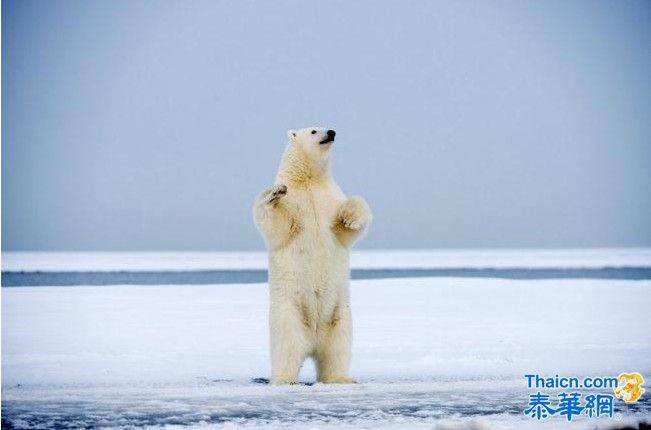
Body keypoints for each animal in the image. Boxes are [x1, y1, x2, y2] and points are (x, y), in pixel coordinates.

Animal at [253, 126, 372, 384]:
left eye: (326, 125)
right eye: (314, 130)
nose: (332, 132)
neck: (309, 180)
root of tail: (312, 344)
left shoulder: (330, 198)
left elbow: (345, 230)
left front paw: (349, 216)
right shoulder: (295, 203)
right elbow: (276, 225)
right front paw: (273, 194)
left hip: (339, 316)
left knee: (338, 349)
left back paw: (341, 378)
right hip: (289, 314)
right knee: (287, 346)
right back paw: (285, 378)